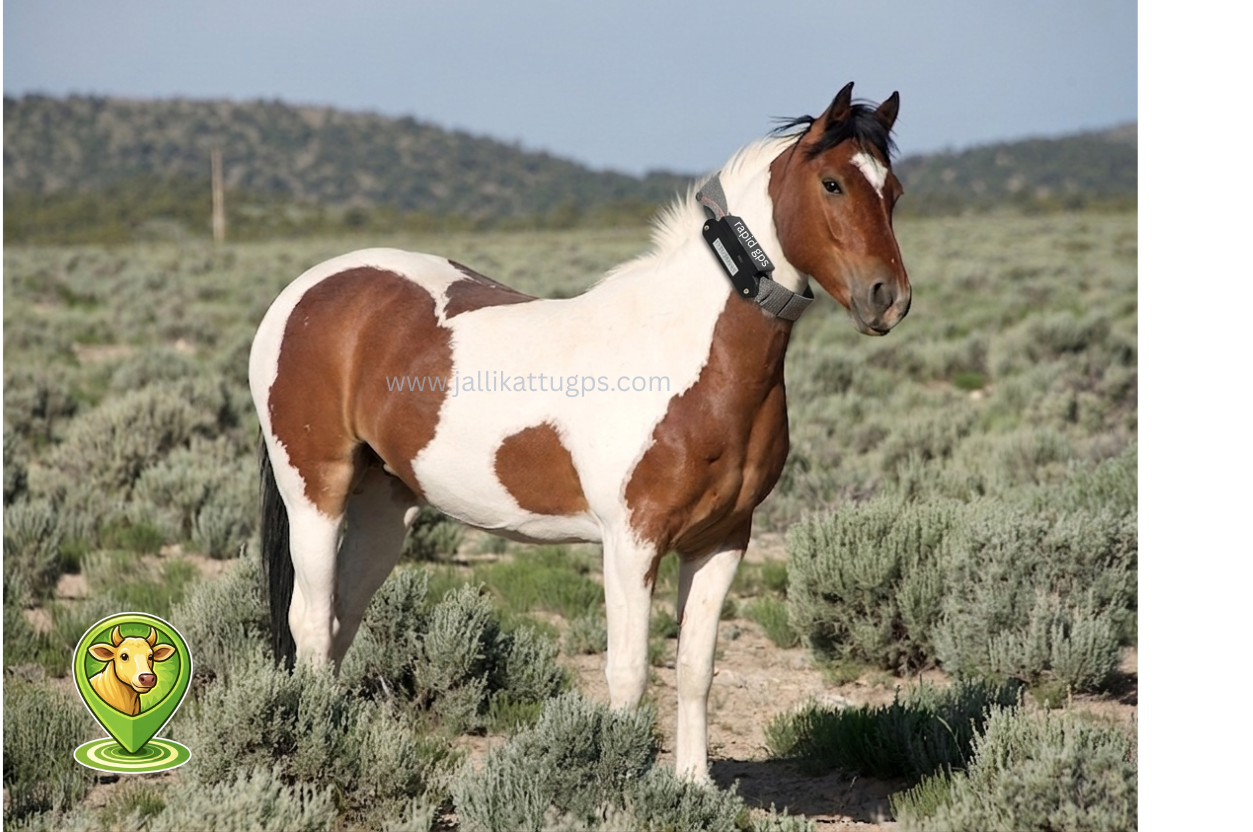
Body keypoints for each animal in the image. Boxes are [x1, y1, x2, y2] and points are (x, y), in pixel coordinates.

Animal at [249, 81, 910, 780]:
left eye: (893, 192)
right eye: (833, 183)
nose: (887, 298)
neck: (684, 352)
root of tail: (307, 290)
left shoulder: (723, 540)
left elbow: (695, 669)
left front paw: (696, 786)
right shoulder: (631, 542)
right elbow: (628, 674)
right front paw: (621, 782)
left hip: (385, 502)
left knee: (342, 615)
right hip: (315, 491)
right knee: (311, 618)